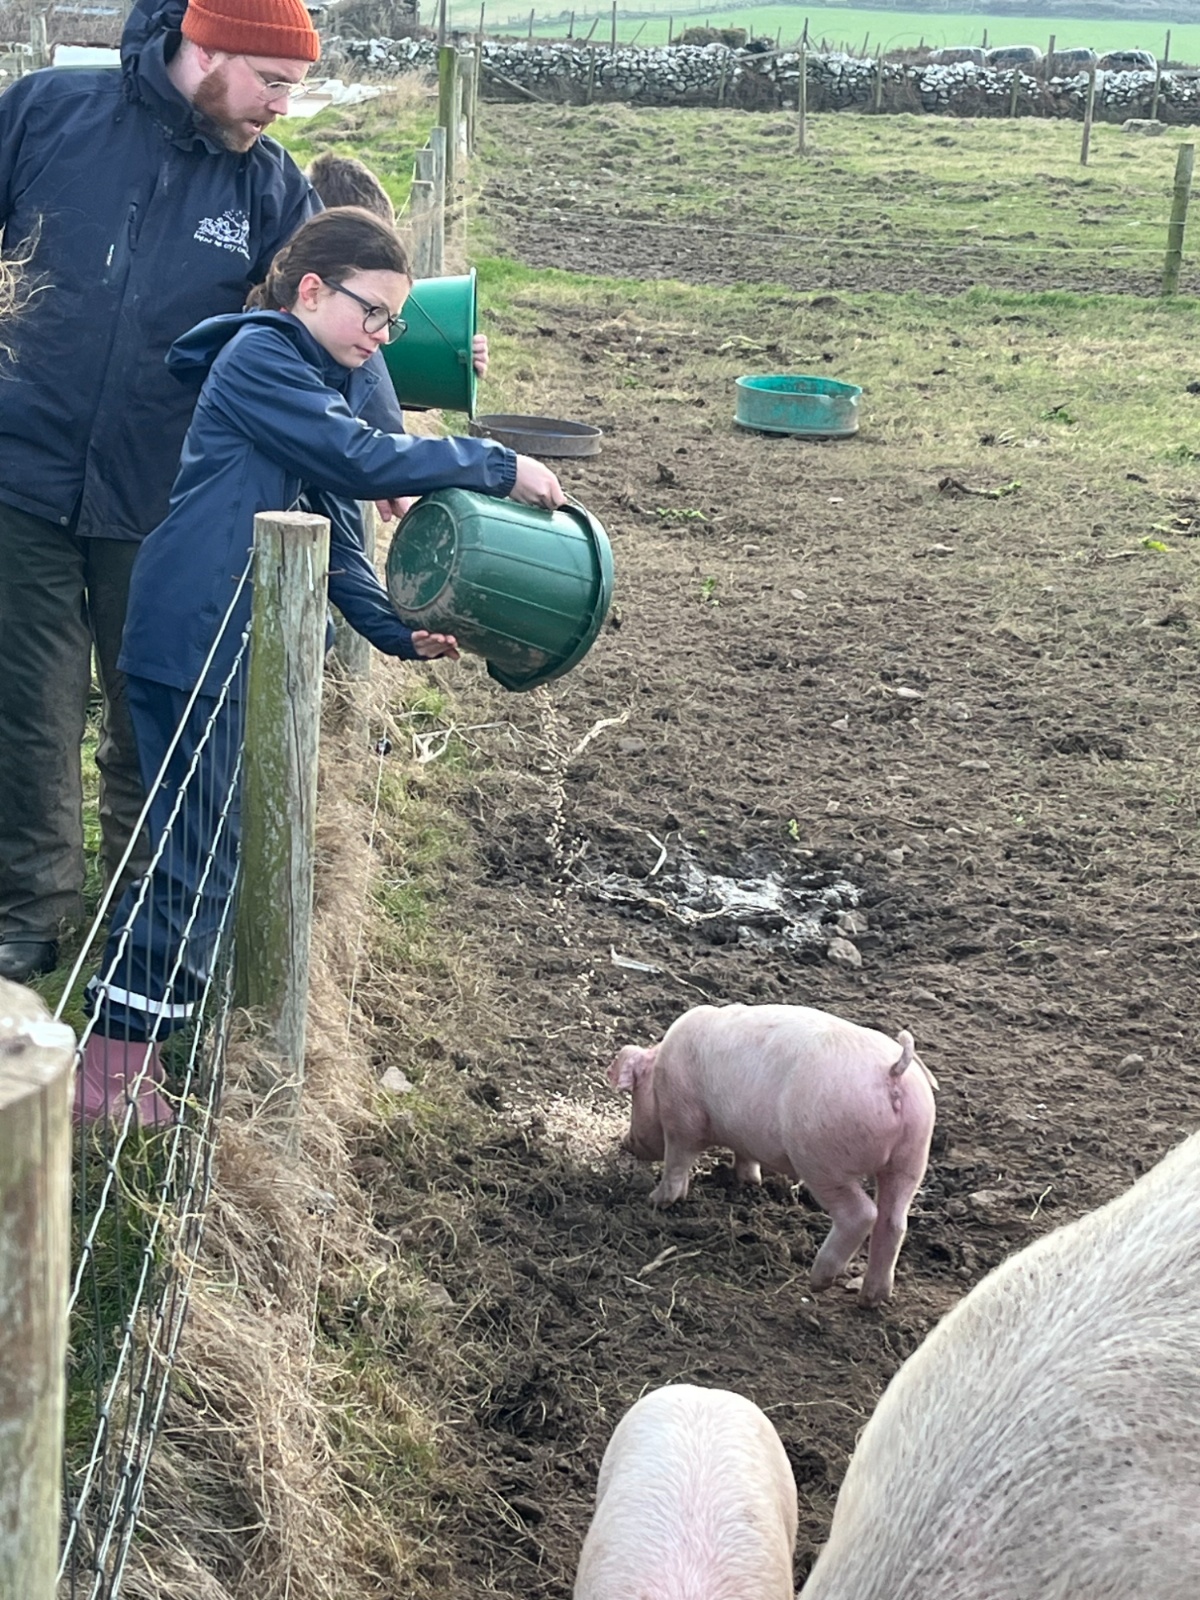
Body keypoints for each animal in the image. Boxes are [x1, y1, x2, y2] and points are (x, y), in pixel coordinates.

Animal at [609, 1003, 936, 1306]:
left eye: (634, 1094)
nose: (626, 1142)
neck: (659, 1074)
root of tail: (893, 1071)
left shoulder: (681, 1120)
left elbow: (677, 1162)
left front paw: (657, 1200)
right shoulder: (742, 1135)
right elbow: (745, 1157)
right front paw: (748, 1181)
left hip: (822, 1159)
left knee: (861, 1214)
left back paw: (817, 1281)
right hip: (912, 1154)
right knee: (894, 1221)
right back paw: (872, 1299)